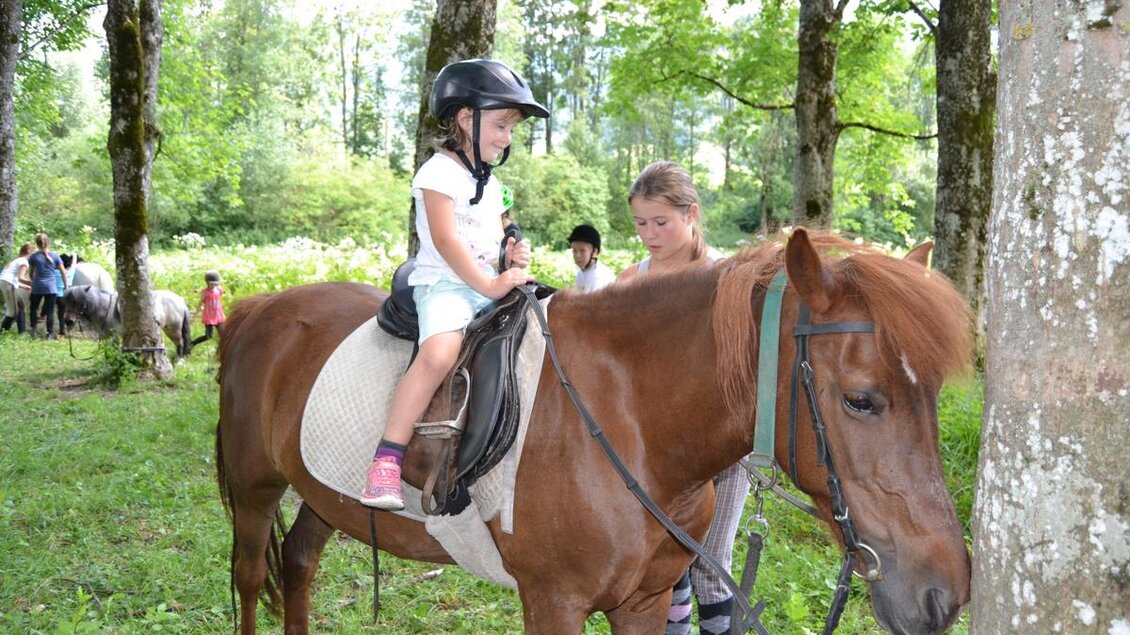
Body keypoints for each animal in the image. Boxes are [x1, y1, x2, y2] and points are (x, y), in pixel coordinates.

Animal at [62, 284, 193, 359]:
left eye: (78, 302)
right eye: (66, 302)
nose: (68, 321)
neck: (105, 308)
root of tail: (180, 300)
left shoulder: (113, 335)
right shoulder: (105, 336)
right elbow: (107, 351)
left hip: (174, 329)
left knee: (180, 343)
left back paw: (179, 361)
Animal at [214, 228, 974, 635]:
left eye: (933, 396)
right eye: (861, 401)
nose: (944, 593)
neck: (628, 417)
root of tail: (260, 306)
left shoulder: (644, 601)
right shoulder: (553, 602)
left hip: (322, 497)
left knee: (298, 565)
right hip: (256, 489)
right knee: (252, 575)